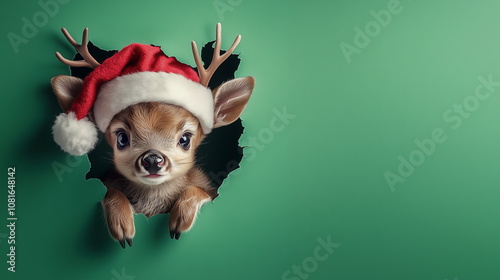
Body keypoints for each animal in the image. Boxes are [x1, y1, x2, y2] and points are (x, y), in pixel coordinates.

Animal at [50, 24, 254, 247]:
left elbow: (197, 190)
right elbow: (111, 192)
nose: (153, 160)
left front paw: (179, 222)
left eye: (185, 138)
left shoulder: (208, 188)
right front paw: (123, 228)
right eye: (122, 138)